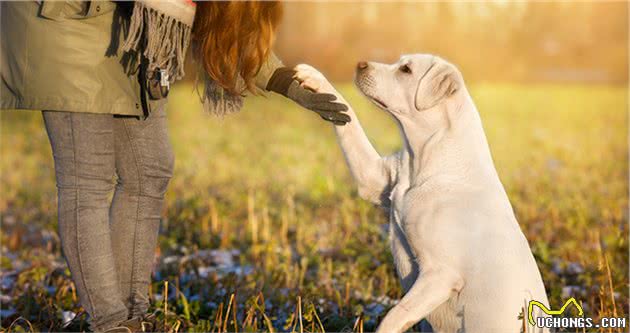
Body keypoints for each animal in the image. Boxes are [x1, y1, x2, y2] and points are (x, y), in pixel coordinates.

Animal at [294, 55, 552, 332]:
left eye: (406, 69)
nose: (360, 64)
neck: (424, 160)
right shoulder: (374, 178)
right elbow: (348, 117)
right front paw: (313, 77)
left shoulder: (440, 274)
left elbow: (394, 315)